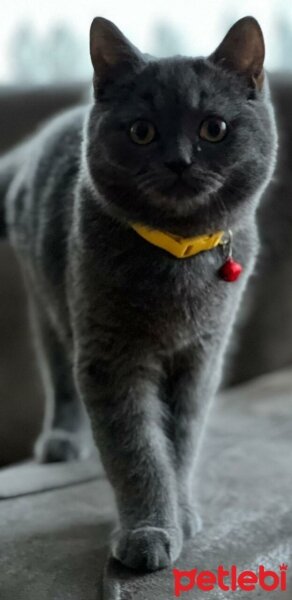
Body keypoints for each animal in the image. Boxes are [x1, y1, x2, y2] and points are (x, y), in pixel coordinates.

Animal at [0, 17, 278, 572]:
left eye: (214, 129)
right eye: (141, 131)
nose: (179, 161)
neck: (177, 254)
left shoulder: (201, 358)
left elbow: (181, 442)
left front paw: (182, 513)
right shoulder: (111, 359)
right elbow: (137, 450)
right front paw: (148, 531)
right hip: (50, 303)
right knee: (60, 375)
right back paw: (63, 441)